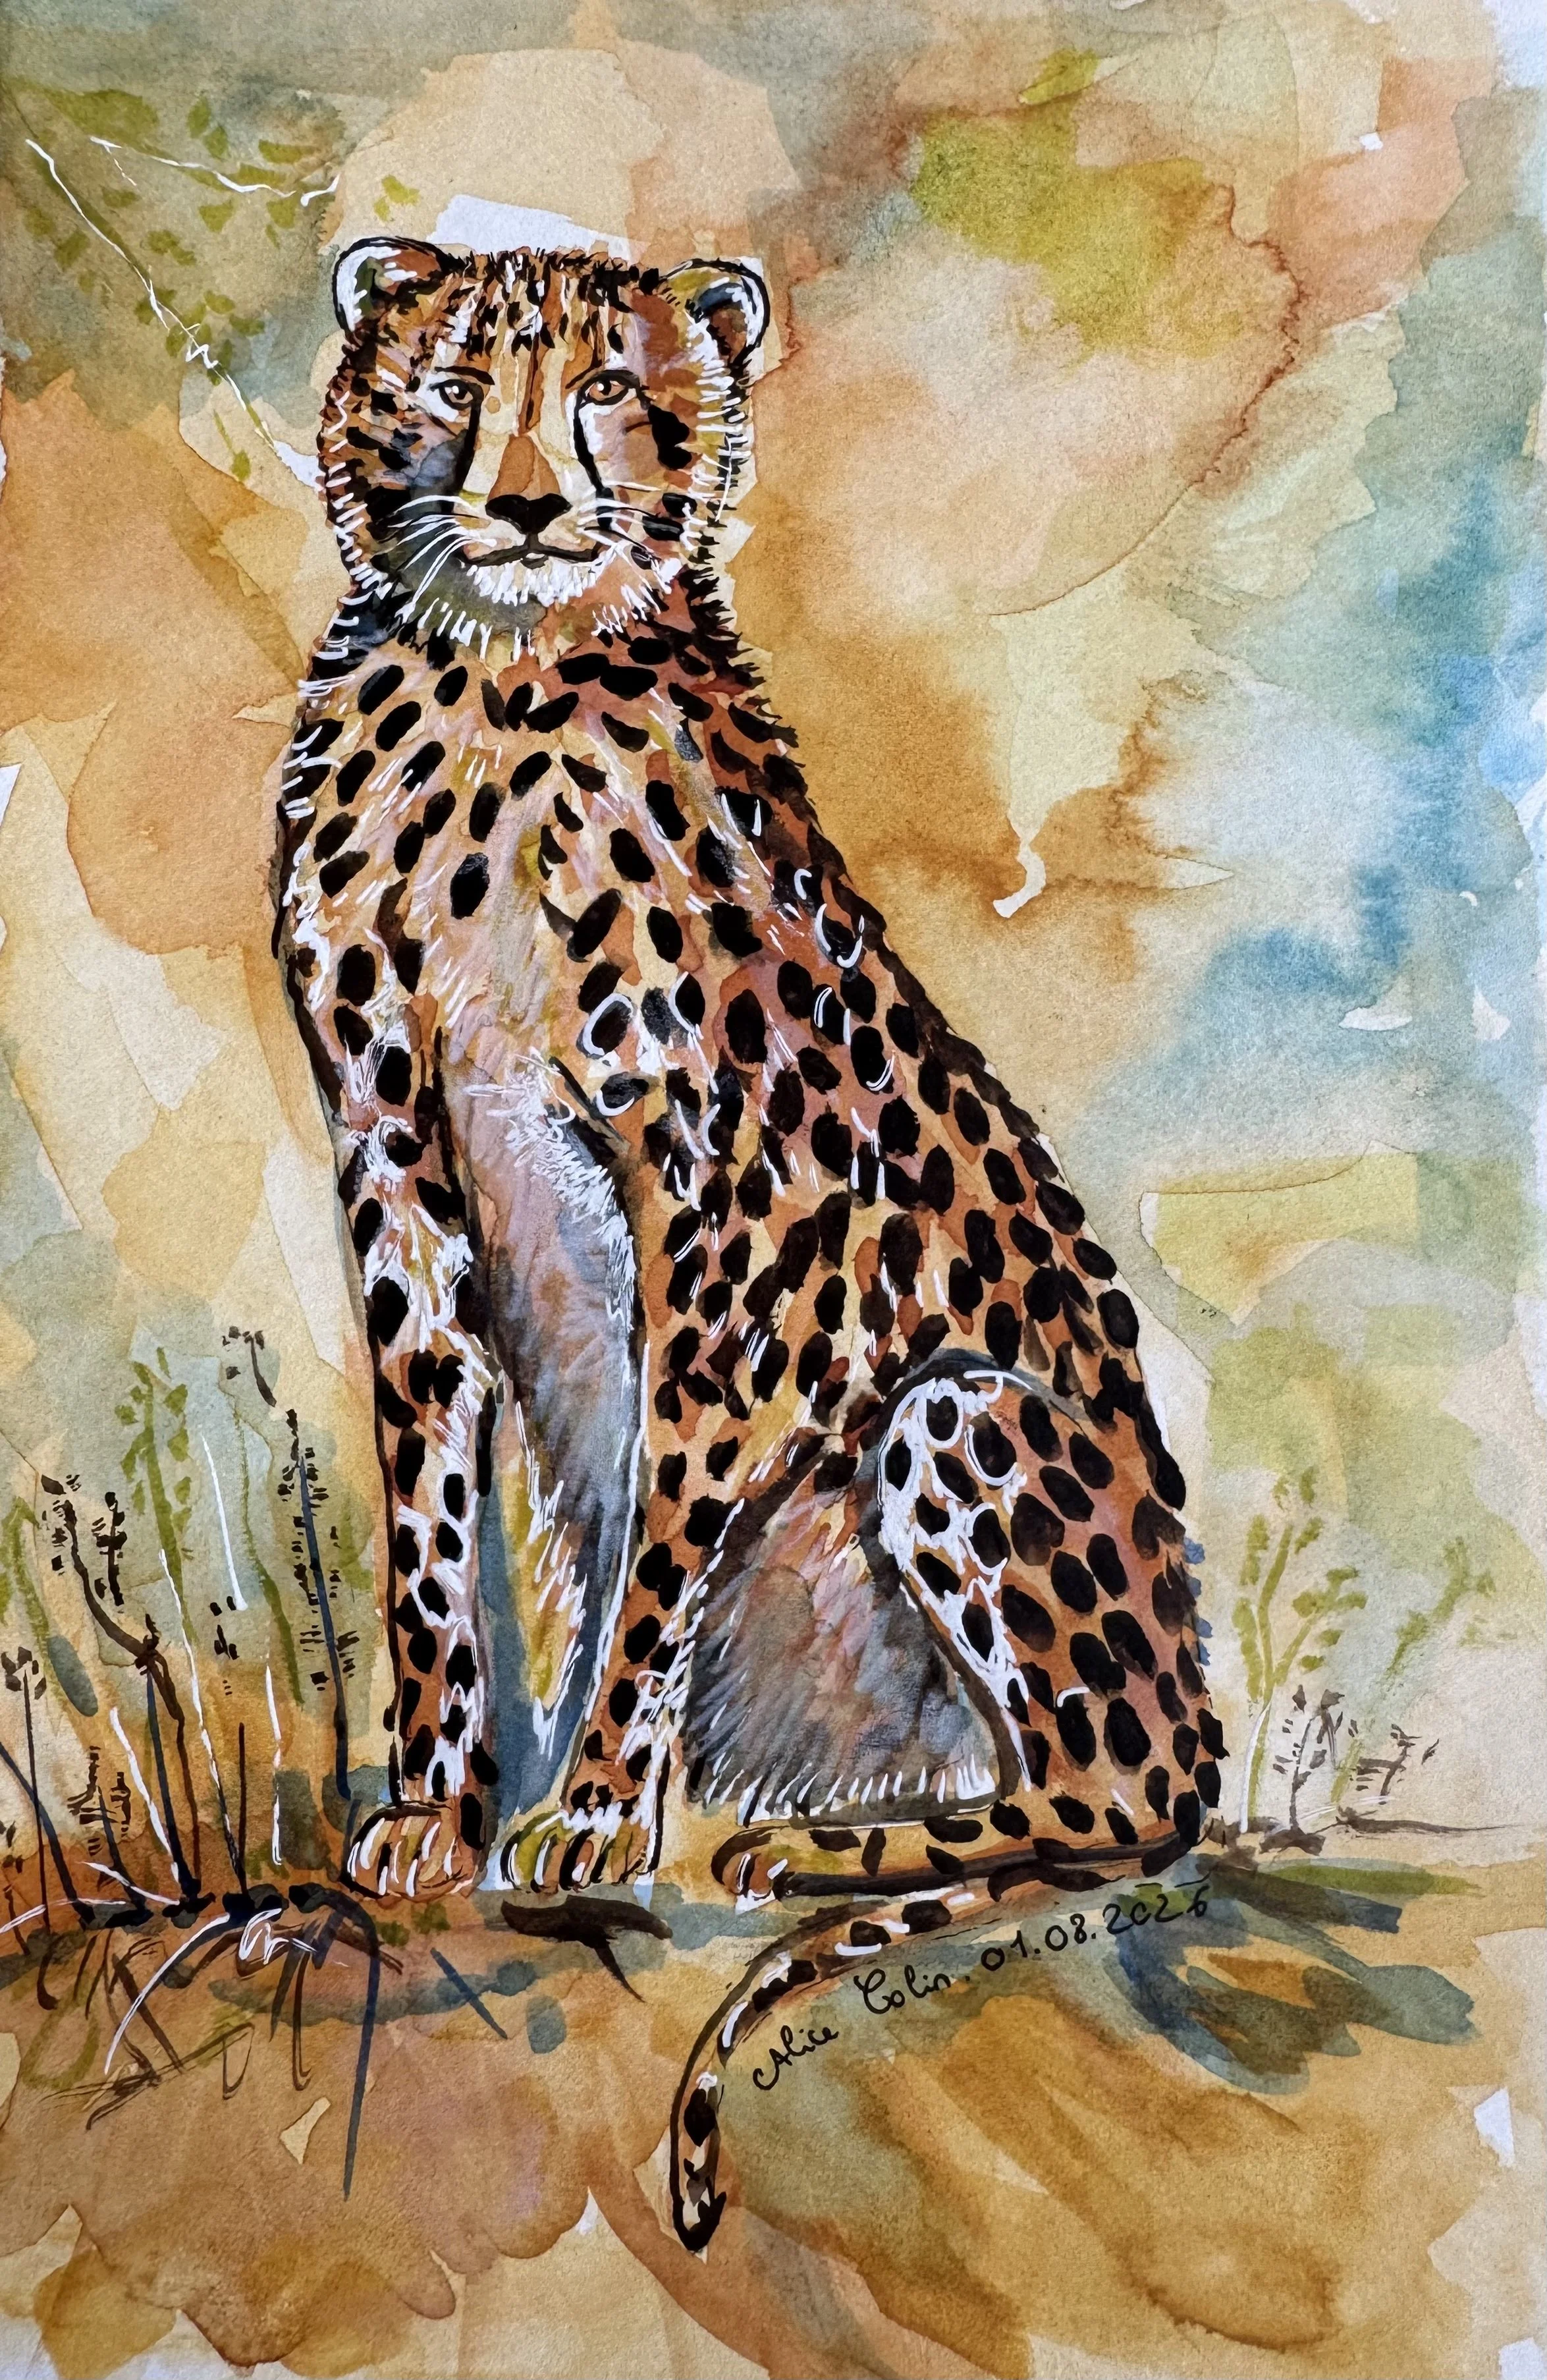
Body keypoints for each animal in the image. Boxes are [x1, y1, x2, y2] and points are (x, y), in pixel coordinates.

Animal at [274, 236, 1225, 2246]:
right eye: (457, 387)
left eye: (608, 395)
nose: (529, 505)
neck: (500, 692)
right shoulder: (391, 1160)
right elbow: (429, 1528)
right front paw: (432, 1811)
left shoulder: (741, 1214)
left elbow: (655, 1543)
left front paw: (587, 1811)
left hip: (963, 1414)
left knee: (1115, 1802)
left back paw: (831, 1839)